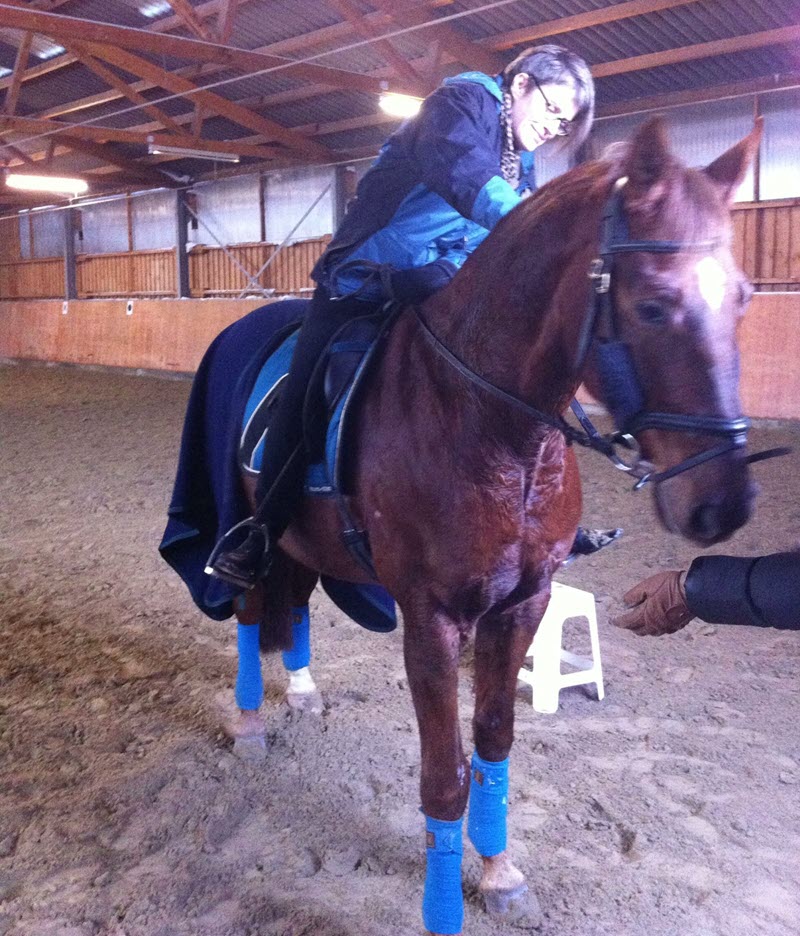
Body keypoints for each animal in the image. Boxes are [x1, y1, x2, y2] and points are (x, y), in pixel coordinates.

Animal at [231, 120, 764, 932]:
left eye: (743, 298)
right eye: (653, 305)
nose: (723, 504)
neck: (494, 424)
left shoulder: (521, 606)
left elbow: (492, 744)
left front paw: (499, 871)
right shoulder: (431, 619)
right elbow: (443, 775)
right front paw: (444, 903)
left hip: (305, 541)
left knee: (292, 603)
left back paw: (301, 691)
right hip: (243, 516)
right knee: (251, 603)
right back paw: (252, 725)